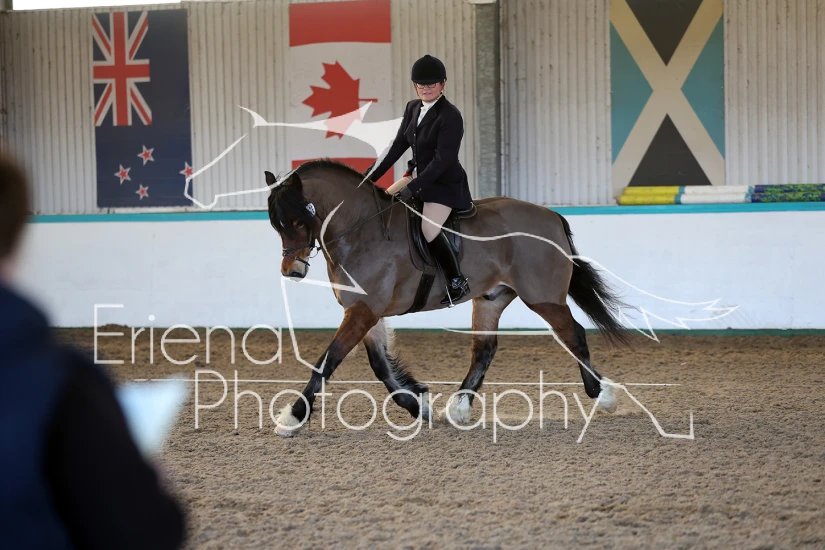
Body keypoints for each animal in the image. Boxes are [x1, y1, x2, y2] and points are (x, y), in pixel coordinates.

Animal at [265, 159, 627, 436]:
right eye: (276, 224)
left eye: (298, 220)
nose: (292, 271)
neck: (359, 231)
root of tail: (552, 216)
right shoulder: (364, 310)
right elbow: (380, 366)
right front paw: (418, 404)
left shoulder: (364, 310)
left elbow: (327, 361)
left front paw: (292, 417)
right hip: (491, 298)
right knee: (484, 349)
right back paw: (458, 408)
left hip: (543, 296)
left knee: (573, 334)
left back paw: (604, 395)